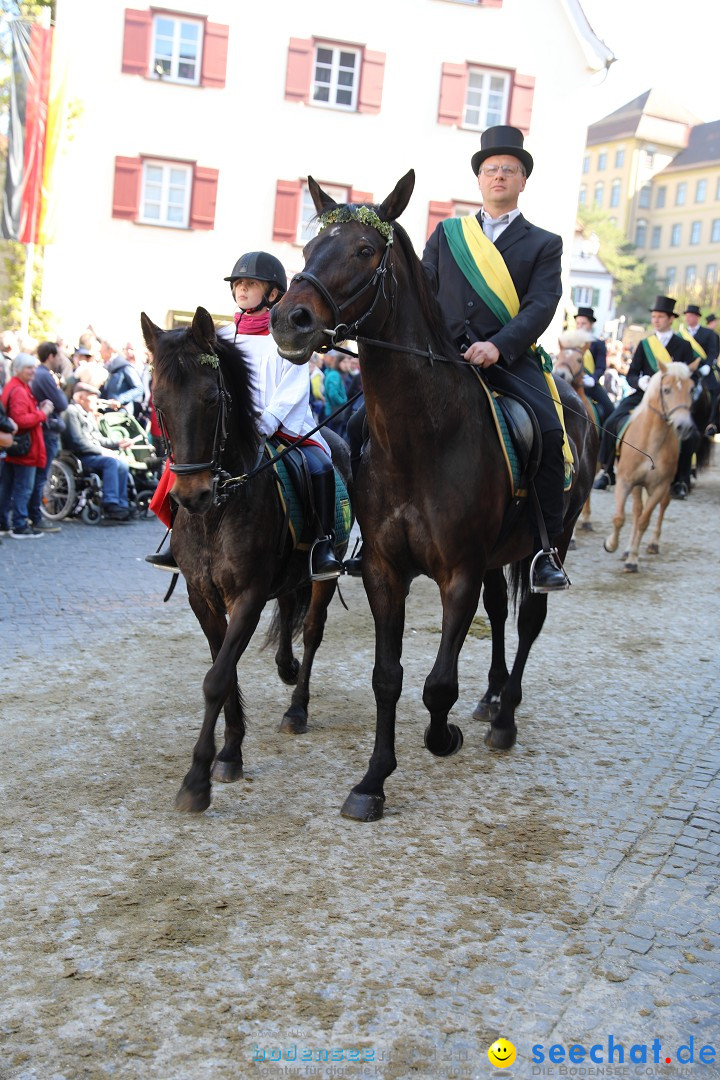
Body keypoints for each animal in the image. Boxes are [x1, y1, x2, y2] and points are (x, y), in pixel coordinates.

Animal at [140, 304, 349, 812]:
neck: (221, 507)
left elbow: (217, 678)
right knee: (290, 610)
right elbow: (225, 667)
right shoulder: (202, 597)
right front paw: (230, 751)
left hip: (325, 574)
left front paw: (198, 778)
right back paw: (286, 667)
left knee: (312, 630)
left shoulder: (248, 596)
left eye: (213, 398)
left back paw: (297, 708)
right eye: (158, 402)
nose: (191, 495)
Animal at [269, 172, 595, 820]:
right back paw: (491, 698)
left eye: (364, 251)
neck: (422, 437)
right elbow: (387, 677)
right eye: (309, 248)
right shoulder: (384, 569)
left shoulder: (458, 571)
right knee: (500, 611)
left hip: (555, 538)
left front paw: (443, 738)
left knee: (530, 619)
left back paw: (504, 718)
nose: (289, 321)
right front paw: (372, 781)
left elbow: (438, 683)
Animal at [604, 358, 695, 570]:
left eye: (692, 390)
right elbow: (620, 518)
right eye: (666, 390)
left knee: (660, 507)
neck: (652, 442)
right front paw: (611, 544)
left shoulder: (660, 486)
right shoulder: (625, 481)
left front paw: (633, 559)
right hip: (637, 484)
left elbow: (644, 520)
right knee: (636, 510)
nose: (684, 426)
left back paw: (651, 544)